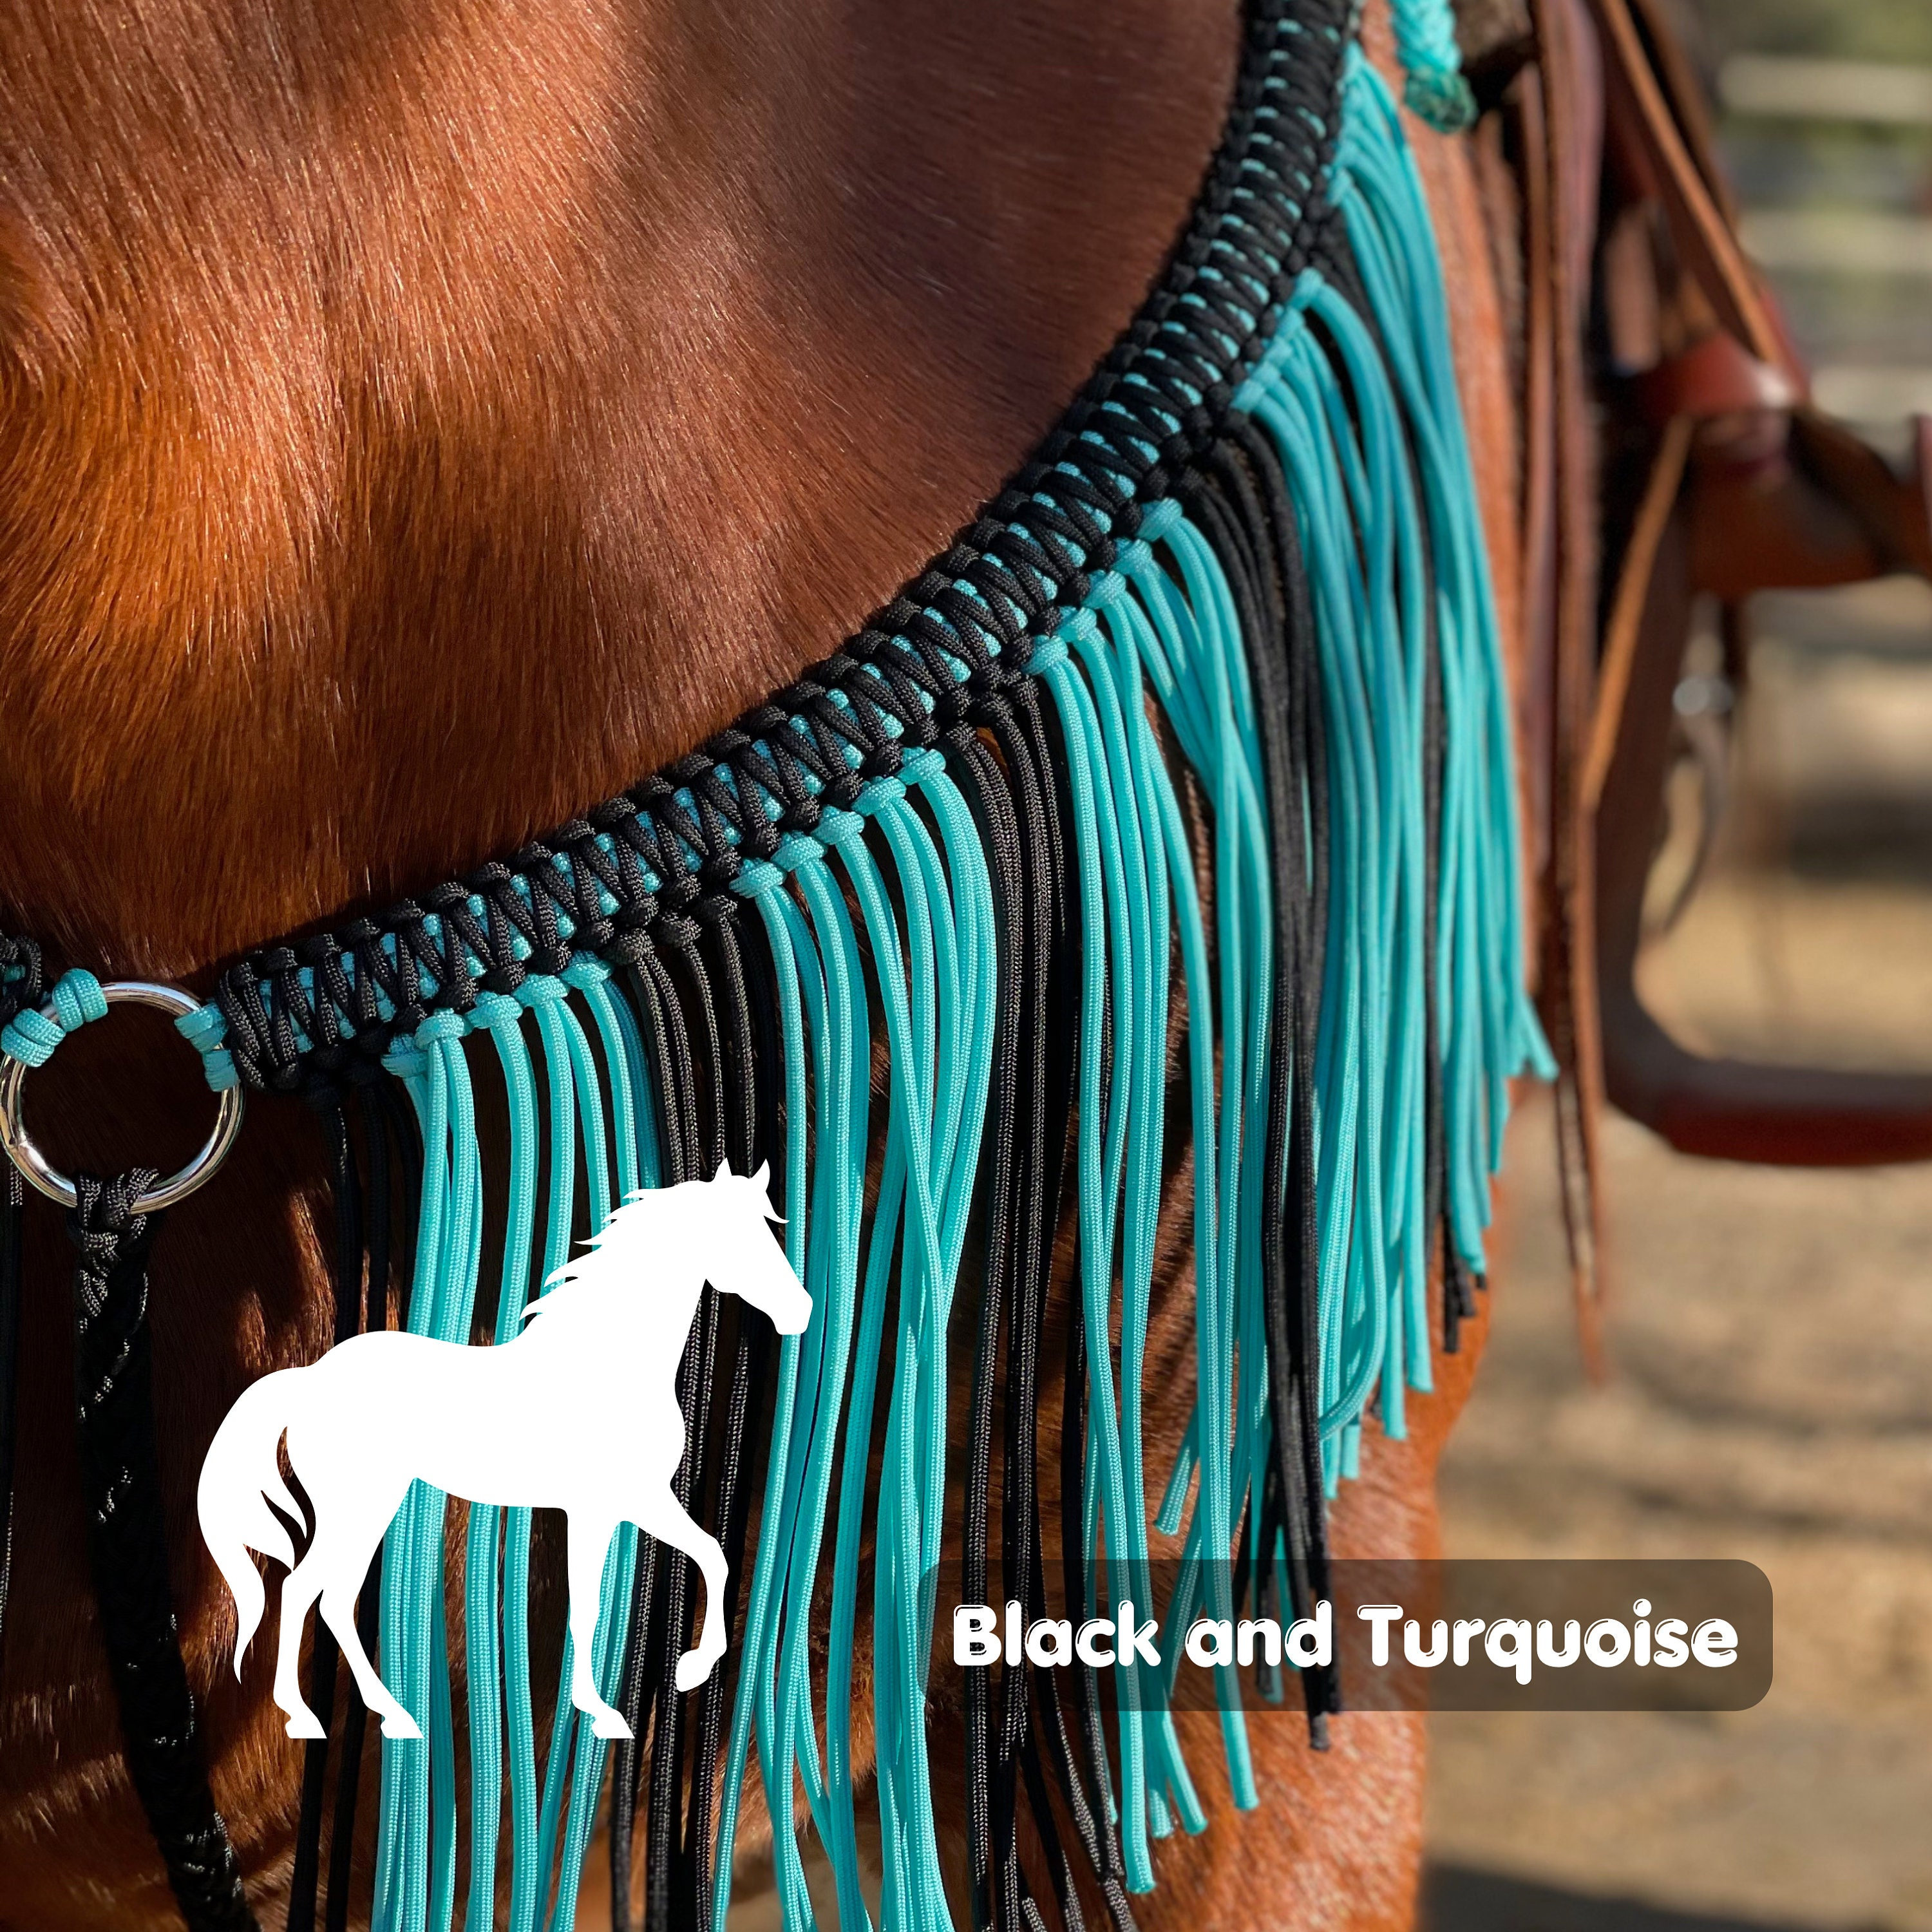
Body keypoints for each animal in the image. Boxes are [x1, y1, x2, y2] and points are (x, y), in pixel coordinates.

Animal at [196, 1168, 809, 1749]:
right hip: (359, 1510)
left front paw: (685, 1672)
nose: (800, 1311)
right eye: (741, 1237)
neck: (608, 1365)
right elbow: (596, 1603)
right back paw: (311, 1716)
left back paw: (394, 1716)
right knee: (306, 1591)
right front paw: (609, 1710)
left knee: (333, 1600)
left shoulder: (634, 1504)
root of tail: (311, 1378)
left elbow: (710, 1558)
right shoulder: (608, 1508)